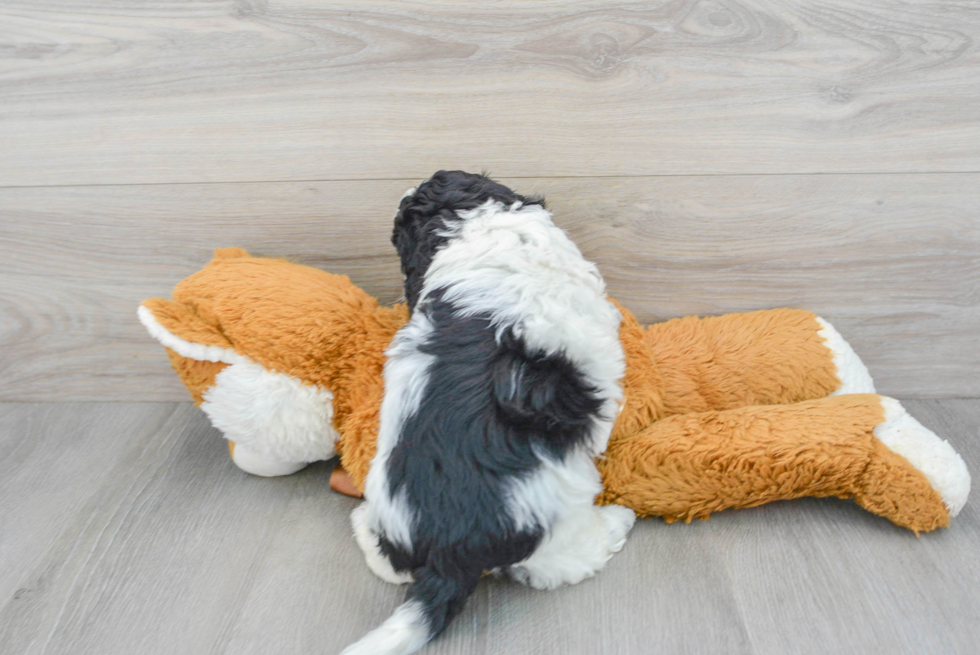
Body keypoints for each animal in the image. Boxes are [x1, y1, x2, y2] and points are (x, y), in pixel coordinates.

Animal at [342, 172, 636, 652]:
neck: (475, 225)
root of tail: (446, 557)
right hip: (555, 521)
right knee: (560, 563)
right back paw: (616, 522)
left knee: (387, 559)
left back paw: (365, 528)